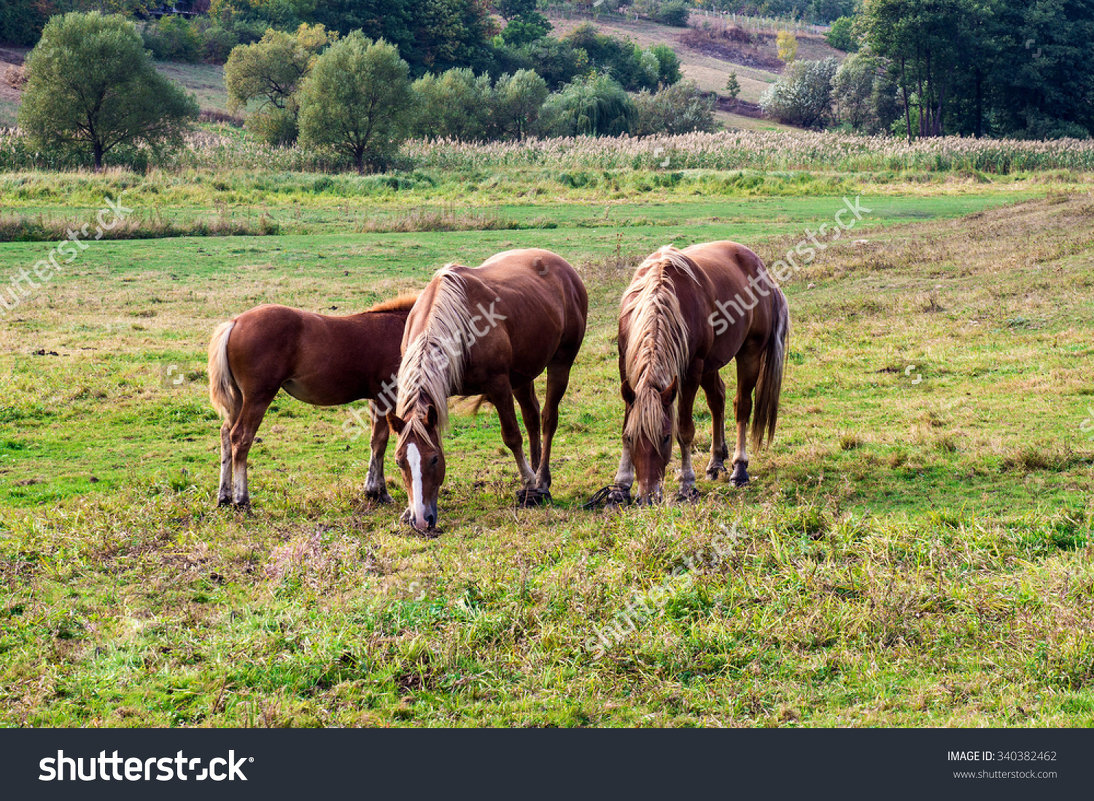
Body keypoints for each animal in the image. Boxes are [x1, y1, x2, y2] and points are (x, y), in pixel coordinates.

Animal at [206, 293, 415, 507]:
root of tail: (235, 322)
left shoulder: (374, 399)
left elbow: (374, 441)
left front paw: (372, 490)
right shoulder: (386, 397)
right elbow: (381, 442)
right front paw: (380, 492)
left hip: (238, 398)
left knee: (226, 433)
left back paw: (224, 497)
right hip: (258, 397)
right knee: (240, 437)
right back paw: (242, 499)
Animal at [387, 247, 590, 529]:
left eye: (434, 458)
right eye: (399, 461)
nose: (421, 520)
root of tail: (565, 268)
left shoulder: (499, 385)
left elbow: (512, 436)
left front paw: (529, 481)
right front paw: (408, 510)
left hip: (561, 363)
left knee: (548, 419)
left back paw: (541, 480)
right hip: (522, 376)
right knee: (531, 417)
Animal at [617, 240, 787, 503]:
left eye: (665, 437)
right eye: (634, 438)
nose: (648, 496)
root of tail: (761, 267)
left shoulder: (690, 373)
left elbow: (685, 430)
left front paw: (687, 484)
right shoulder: (625, 364)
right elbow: (627, 420)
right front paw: (621, 484)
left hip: (749, 353)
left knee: (742, 406)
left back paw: (739, 468)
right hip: (711, 363)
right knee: (718, 400)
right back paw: (716, 461)